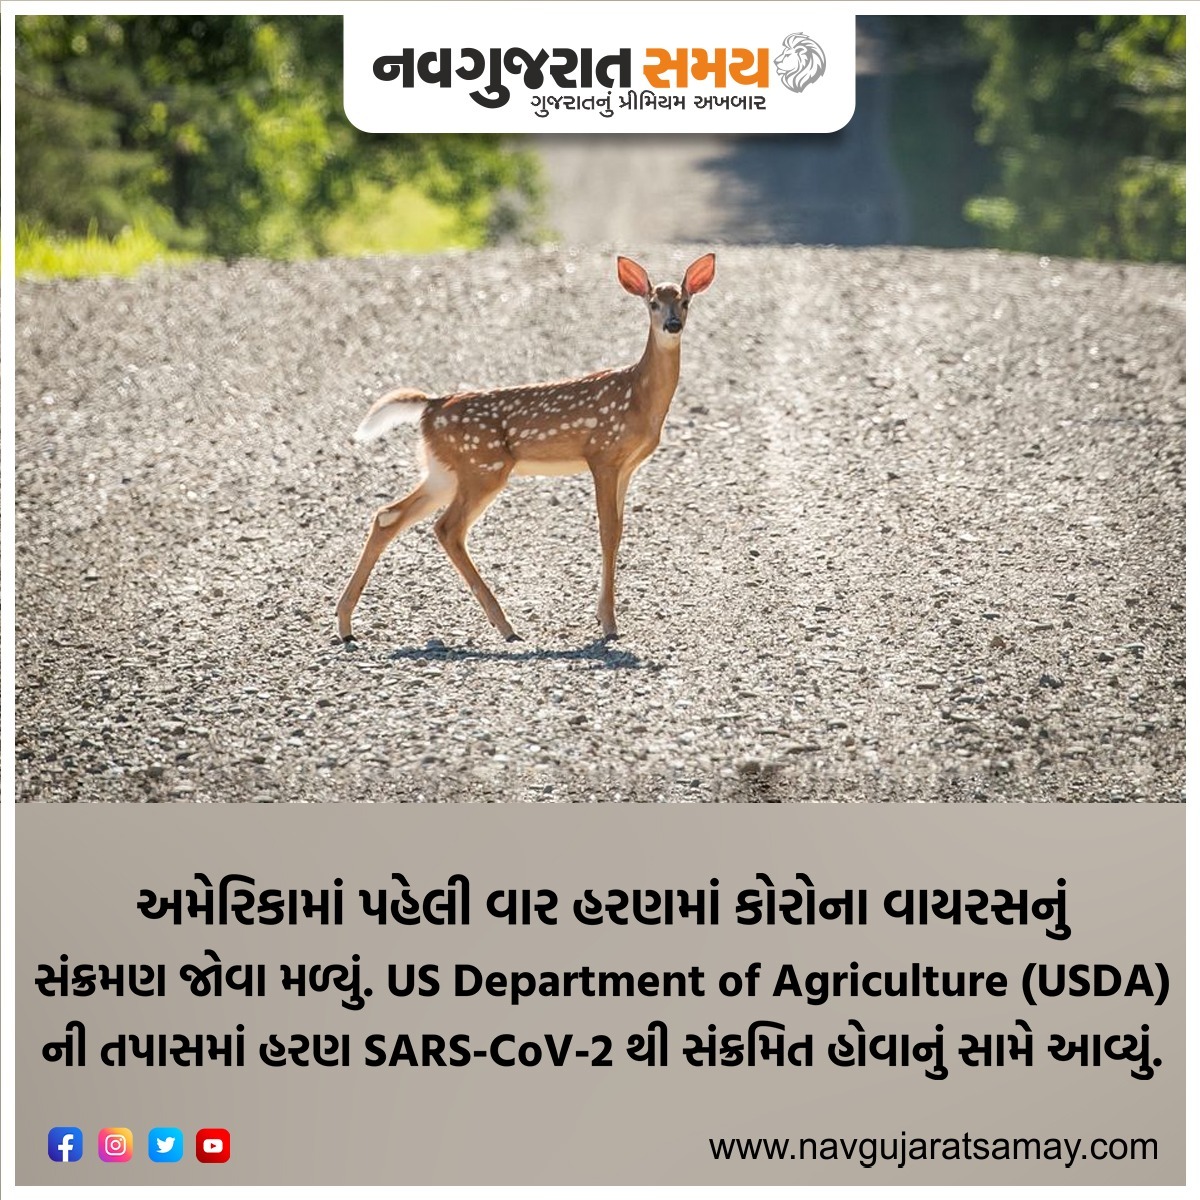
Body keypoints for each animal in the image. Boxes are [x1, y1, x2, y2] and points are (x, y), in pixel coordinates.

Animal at [336, 252, 716, 644]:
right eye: (652, 303)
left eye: (685, 301)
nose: (673, 324)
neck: (638, 397)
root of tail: (430, 405)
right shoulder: (602, 454)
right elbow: (608, 531)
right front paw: (609, 624)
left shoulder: (627, 465)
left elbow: (620, 529)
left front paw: (602, 615)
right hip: (483, 468)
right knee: (447, 528)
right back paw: (505, 626)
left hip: (444, 471)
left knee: (388, 515)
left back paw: (346, 625)